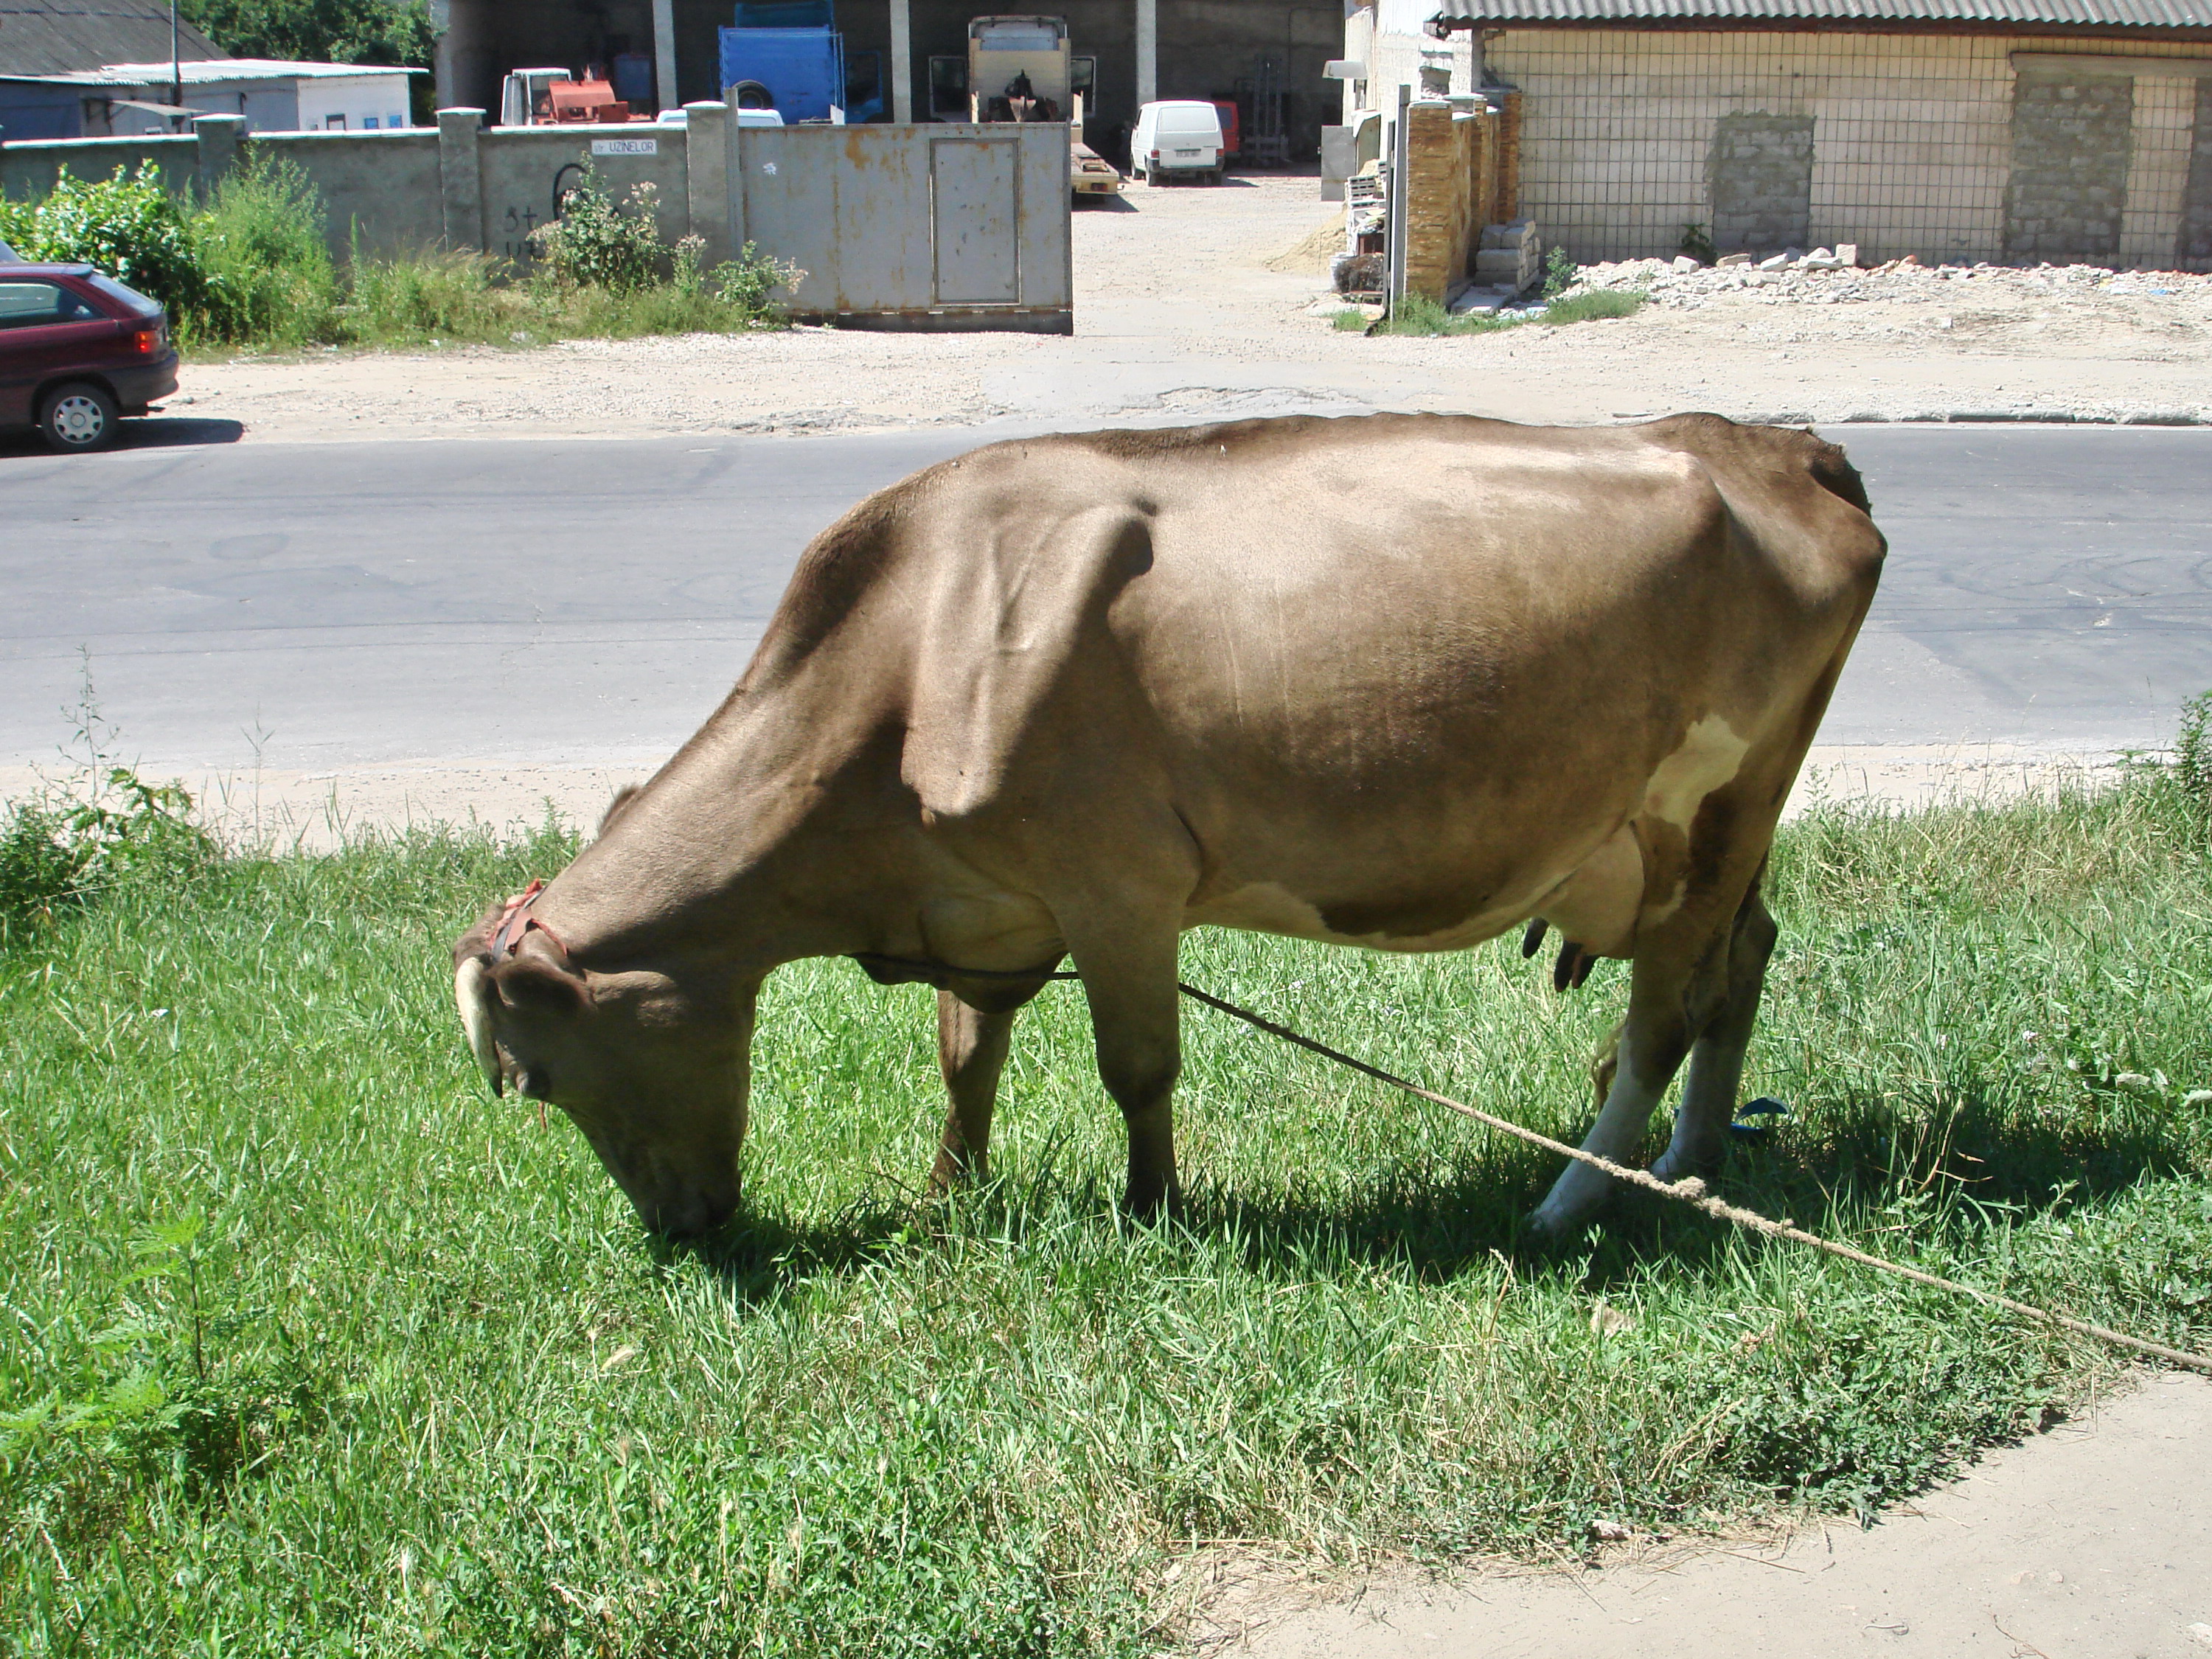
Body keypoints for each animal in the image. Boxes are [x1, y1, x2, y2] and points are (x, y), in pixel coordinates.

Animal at [449, 418, 1885, 1248]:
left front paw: (1153, 1210)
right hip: (1708, 836)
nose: (684, 1232)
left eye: (536, 1080)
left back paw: (1575, 1198)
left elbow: (1136, 1068)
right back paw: (1693, 1164)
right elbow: (966, 1056)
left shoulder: (1117, 887)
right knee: (1740, 963)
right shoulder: (992, 904)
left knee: (1659, 1017)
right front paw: (951, 1192)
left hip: (1716, 805)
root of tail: (1781, 446)